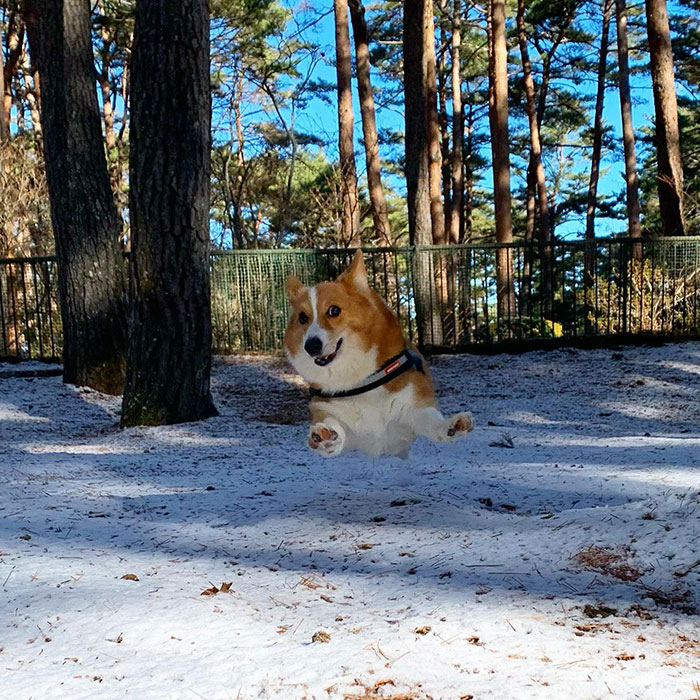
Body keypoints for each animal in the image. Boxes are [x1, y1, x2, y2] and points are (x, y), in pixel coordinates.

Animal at [282, 252, 474, 460]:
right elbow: (333, 426)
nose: (311, 346)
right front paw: (324, 438)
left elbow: (431, 421)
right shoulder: (330, 414)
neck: (359, 381)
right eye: (302, 318)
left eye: (334, 310)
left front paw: (451, 427)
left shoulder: (412, 408)